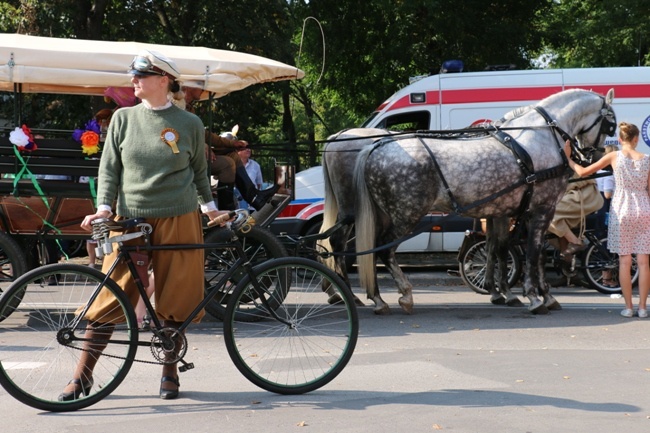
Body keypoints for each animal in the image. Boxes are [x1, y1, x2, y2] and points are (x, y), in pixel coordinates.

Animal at [352, 88, 616, 314]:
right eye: (610, 125)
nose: (596, 157)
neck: (540, 135)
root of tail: (374, 148)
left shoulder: (505, 211)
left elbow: (502, 249)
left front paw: (512, 293)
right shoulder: (542, 209)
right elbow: (533, 253)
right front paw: (535, 296)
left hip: (386, 216)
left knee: (371, 251)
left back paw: (377, 298)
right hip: (406, 216)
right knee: (384, 250)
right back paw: (404, 294)